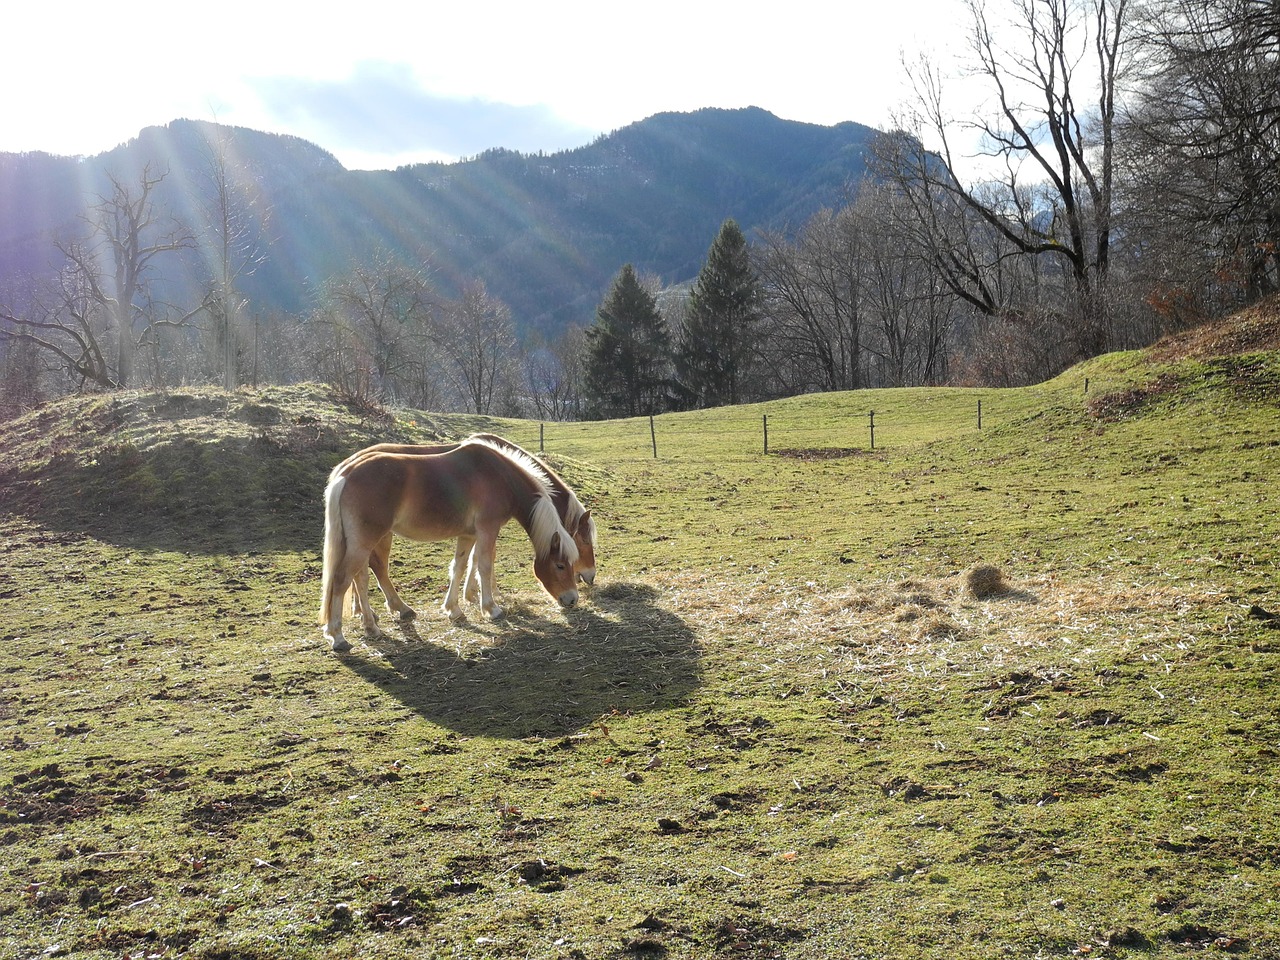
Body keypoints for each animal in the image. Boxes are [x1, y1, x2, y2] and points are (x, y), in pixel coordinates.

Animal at [320, 442, 581, 655]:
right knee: (343, 579)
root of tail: (345, 474)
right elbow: (484, 565)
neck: (500, 477)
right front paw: (491, 608)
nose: (572, 599)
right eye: (560, 565)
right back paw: (338, 636)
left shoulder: (468, 534)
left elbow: (459, 566)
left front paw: (453, 609)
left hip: (361, 543)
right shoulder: (487, 530)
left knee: (360, 579)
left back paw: (373, 625)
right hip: (364, 542)